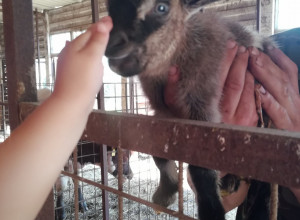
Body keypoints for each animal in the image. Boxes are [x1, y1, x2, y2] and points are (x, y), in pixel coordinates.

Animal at [104, 0, 276, 220]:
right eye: (109, 8)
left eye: (162, 8)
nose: (111, 47)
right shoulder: (163, 111)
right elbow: (159, 154)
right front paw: (166, 193)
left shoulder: (202, 100)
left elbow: (200, 165)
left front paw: (211, 212)